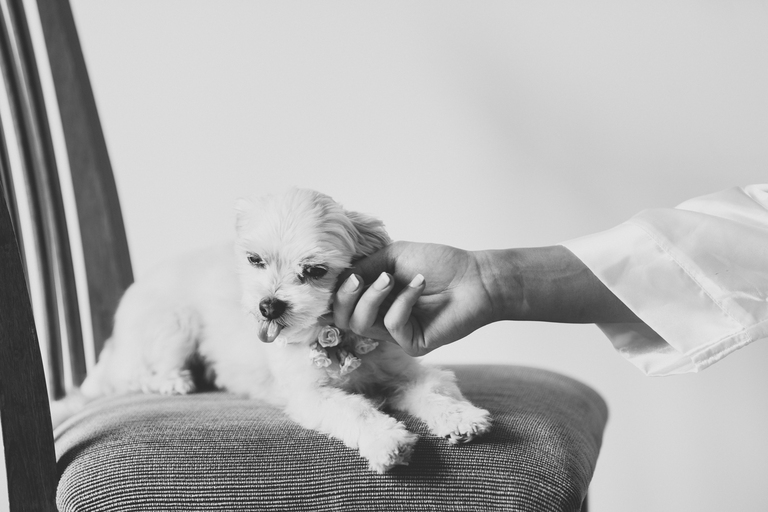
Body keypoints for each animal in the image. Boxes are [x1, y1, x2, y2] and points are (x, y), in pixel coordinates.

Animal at [53, 188, 491, 473]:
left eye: (314, 270)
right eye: (254, 260)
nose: (269, 305)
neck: (333, 336)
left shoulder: (408, 373)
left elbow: (435, 391)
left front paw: (460, 418)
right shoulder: (311, 395)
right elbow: (355, 410)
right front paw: (387, 440)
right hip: (173, 325)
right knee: (135, 374)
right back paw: (173, 381)